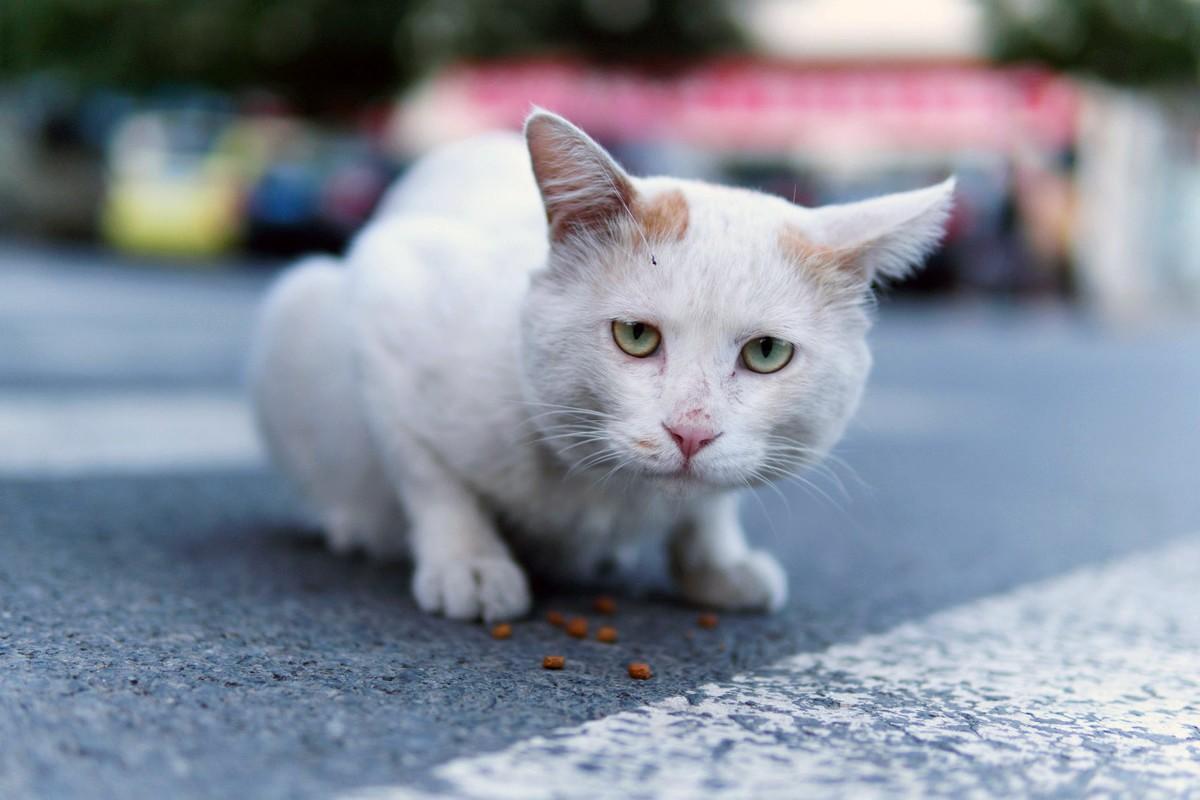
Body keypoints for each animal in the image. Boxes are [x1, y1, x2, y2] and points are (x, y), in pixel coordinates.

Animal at [246, 109, 955, 623]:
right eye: (635, 336)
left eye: (766, 354)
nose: (691, 431)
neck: (608, 492)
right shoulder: (388, 300)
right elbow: (429, 477)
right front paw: (469, 563)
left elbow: (710, 505)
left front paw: (715, 564)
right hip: (301, 302)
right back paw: (353, 523)